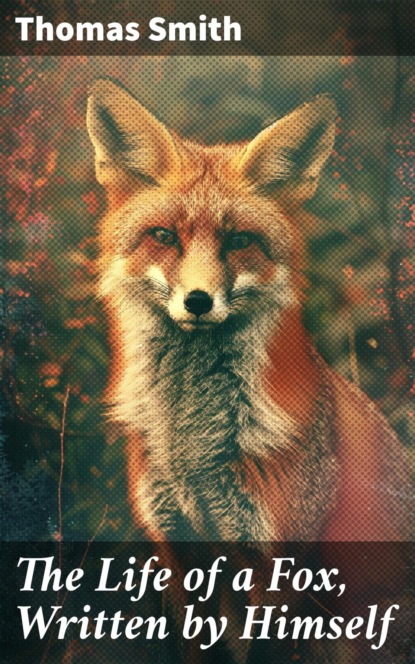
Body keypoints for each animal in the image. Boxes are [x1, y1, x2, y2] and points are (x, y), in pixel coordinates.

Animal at [87, 77, 413, 544]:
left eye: (239, 241)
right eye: (164, 236)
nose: (198, 301)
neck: (187, 451)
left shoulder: (273, 537)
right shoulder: (171, 532)